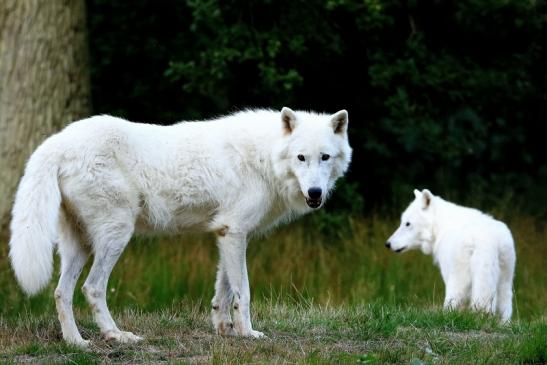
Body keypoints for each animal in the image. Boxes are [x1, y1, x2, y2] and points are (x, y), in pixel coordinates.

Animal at [8, 106, 354, 346]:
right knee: (91, 288)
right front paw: (248, 334)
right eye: (301, 158)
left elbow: (222, 293)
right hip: (116, 236)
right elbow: (243, 292)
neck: (263, 157)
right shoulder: (235, 232)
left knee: (61, 292)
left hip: (79, 246)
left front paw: (225, 330)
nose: (315, 193)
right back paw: (117, 336)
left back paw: (77, 342)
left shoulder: (226, 233)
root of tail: (55, 143)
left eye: (325, 157)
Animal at [388, 189, 516, 320]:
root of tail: (488, 241)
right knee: (505, 311)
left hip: (459, 283)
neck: (441, 226)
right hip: (505, 283)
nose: (387, 244)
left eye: (407, 224)